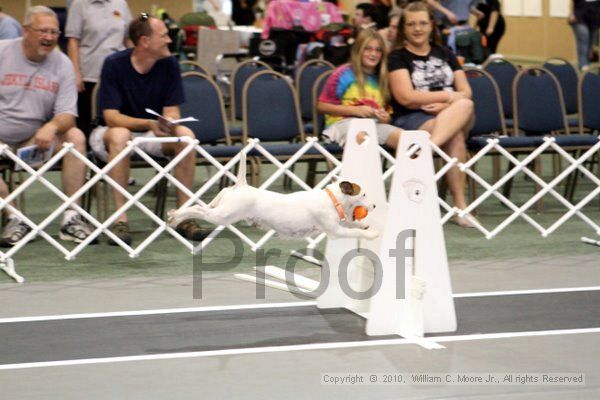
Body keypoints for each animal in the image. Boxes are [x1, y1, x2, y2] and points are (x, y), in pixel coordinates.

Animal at [166, 155, 378, 239]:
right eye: (364, 194)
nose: (375, 206)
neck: (332, 199)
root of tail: (242, 185)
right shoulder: (335, 231)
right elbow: (353, 231)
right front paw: (371, 234)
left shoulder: (338, 223)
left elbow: (353, 224)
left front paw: (365, 225)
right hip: (223, 216)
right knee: (197, 210)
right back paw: (175, 216)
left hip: (220, 206)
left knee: (205, 205)